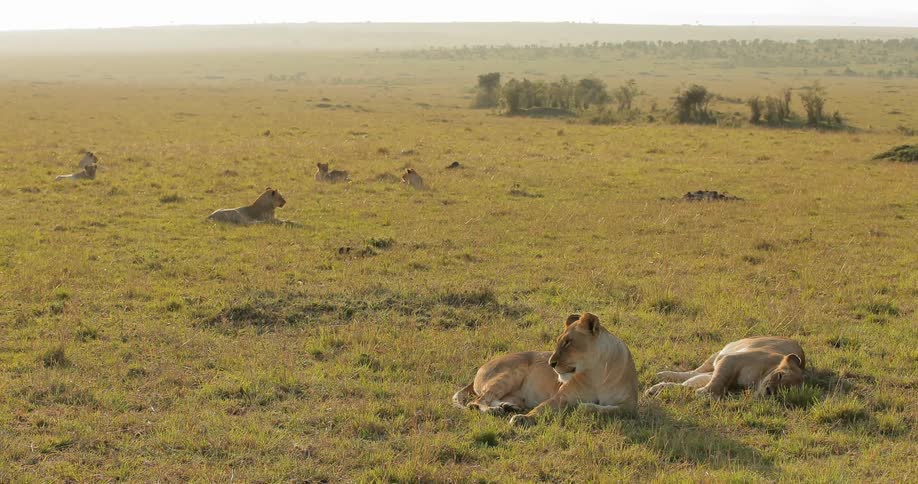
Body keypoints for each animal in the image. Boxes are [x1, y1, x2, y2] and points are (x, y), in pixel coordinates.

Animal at [452, 313, 639, 427]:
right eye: (558, 341)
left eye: (568, 342)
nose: (551, 363)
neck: (596, 372)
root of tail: (479, 370)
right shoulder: (561, 397)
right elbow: (541, 408)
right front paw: (522, 419)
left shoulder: (630, 406)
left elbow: (609, 409)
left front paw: (585, 406)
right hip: (510, 374)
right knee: (476, 401)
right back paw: (495, 410)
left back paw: (508, 406)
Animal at [645, 336, 805, 398]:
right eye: (780, 375)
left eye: (785, 391)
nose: (769, 391)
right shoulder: (730, 360)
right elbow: (716, 384)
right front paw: (704, 393)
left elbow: (694, 386)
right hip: (718, 354)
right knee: (693, 372)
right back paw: (662, 375)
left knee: (691, 378)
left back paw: (656, 387)